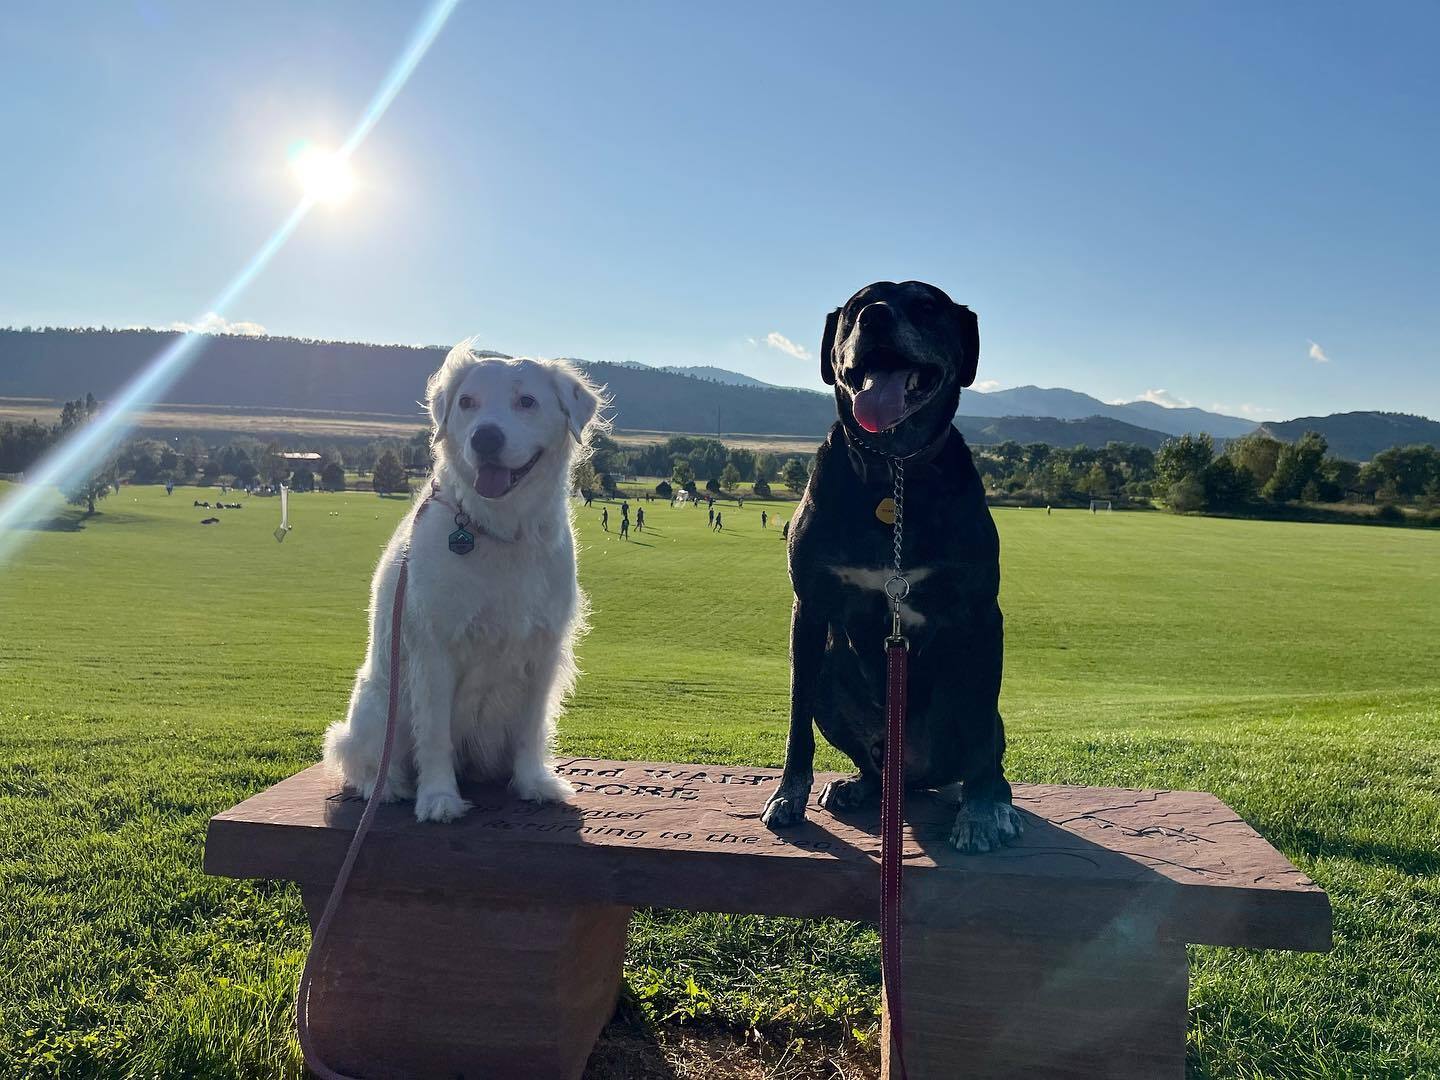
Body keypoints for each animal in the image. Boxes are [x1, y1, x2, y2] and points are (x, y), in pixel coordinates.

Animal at [326, 342, 607, 823]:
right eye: (467, 403)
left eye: (526, 401)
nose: (485, 438)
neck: (498, 529)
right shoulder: (434, 650)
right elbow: (435, 734)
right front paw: (438, 798)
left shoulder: (543, 650)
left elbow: (531, 728)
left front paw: (533, 783)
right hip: (377, 706)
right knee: (366, 759)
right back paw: (388, 787)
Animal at [760, 280, 1019, 852]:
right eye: (856, 308)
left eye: (925, 305)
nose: (875, 317)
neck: (892, 471)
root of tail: (911, 774)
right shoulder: (808, 609)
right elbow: (795, 720)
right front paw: (788, 795)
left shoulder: (982, 614)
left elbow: (981, 745)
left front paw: (981, 814)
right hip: (833, 686)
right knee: (872, 764)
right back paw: (857, 785)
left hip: (973, 694)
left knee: (984, 749)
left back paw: (996, 804)